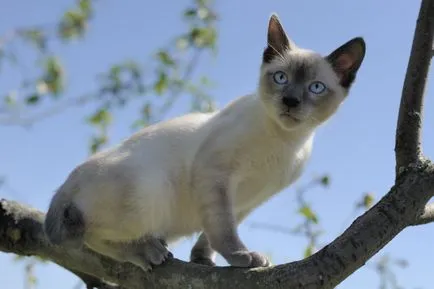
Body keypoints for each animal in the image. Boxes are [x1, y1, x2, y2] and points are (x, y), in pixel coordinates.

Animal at [44, 13, 364, 270]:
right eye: (281, 78)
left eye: (316, 87)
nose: (290, 101)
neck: (286, 141)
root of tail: (65, 185)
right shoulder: (215, 175)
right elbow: (223, 228)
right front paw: (242, 257)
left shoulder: (251, 197)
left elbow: (211, 234)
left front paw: (202, 260)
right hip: (151, 188)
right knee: (90, 236)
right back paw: (148, 251)